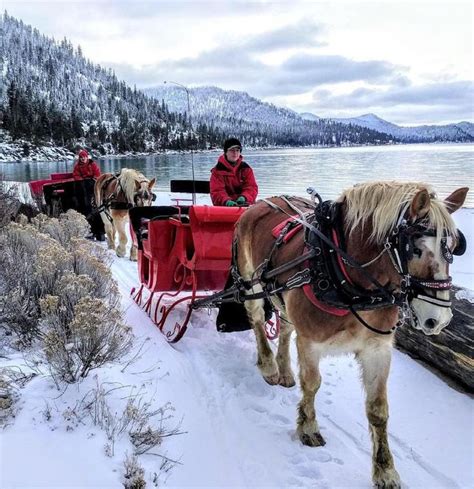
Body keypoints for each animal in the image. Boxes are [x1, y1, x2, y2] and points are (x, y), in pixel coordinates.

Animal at [233, 182, 466, 488]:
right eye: (415, 249)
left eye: (452, 248)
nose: (438, 319)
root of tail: (265, 202)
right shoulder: (310, 342)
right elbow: (312, 385)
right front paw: (308, 427)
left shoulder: (377, 349)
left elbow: (378, 409)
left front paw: (385, 470)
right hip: (251, 281)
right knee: (258, 318)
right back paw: (269, 365)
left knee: (284, 326)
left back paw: (284, 371)